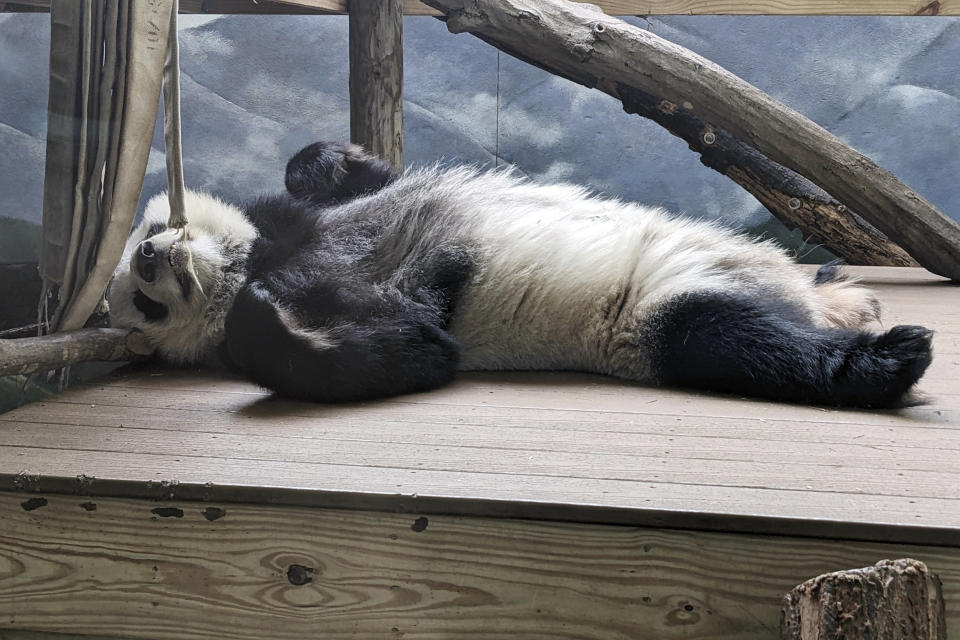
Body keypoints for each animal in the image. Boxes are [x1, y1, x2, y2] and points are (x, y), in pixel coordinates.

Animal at [105, 142, 928, 408]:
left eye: (144, 233)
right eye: (147, 307)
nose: (149, 260)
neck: (261, 259)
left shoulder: (302, 226)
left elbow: (348, 183)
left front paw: (333, 160)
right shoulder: (335, 291)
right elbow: (417, 348)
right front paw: (261, 318)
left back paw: (842, 291)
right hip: (654, 312)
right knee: (735, 341)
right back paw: (883, 359)